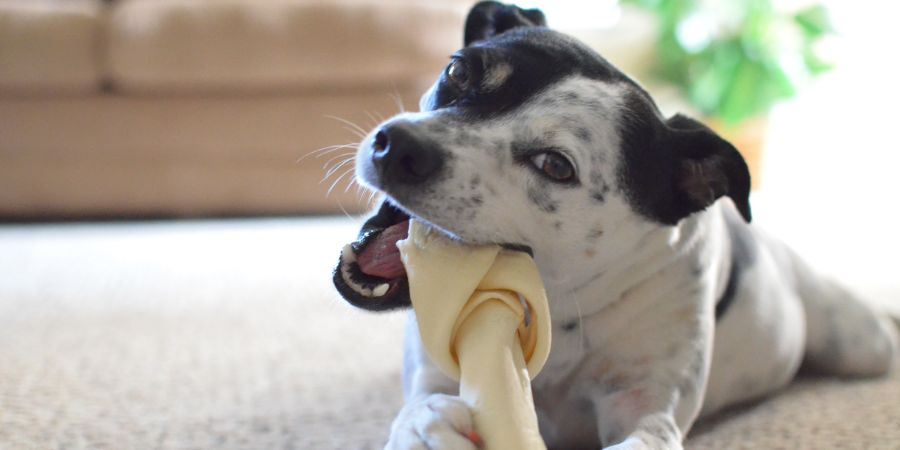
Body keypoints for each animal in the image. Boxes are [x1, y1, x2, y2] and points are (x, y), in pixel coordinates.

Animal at [332, 2, 900, 446]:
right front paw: (429, 426)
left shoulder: (646, 409)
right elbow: (420, 409)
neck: (559, 306)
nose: (397, 145)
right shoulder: (437, 368)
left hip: (859, 344)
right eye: (459, 72)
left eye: (556, 165)